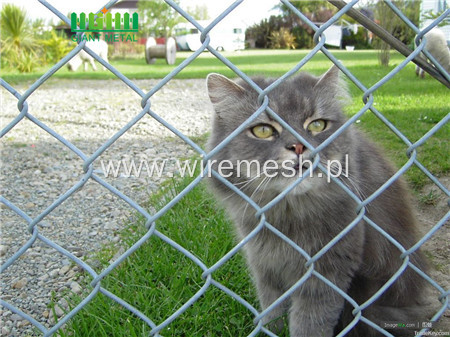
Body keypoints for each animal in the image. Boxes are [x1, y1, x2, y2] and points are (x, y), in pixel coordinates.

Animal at [206, 66, 430, 336]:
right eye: (263, 130)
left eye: (317, 125)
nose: (298, 146)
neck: (286, 216)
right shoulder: (265, 266)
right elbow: (272, 311)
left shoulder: (328, 271)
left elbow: (309, 323)